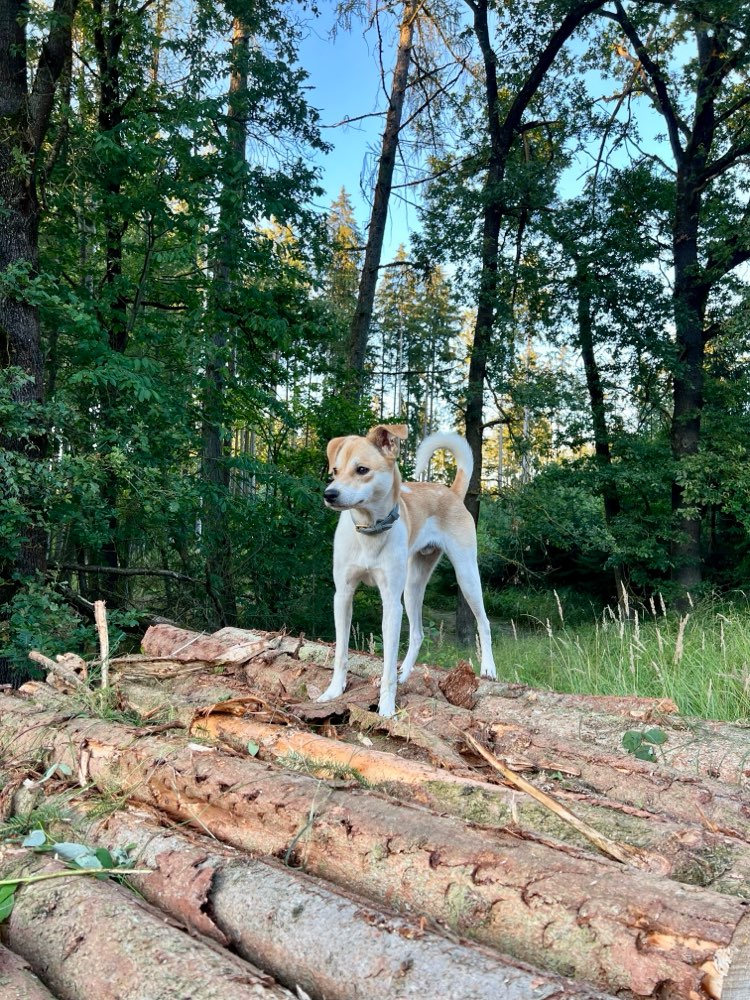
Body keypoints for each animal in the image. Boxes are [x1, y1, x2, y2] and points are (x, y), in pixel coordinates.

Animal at [320, 426, 496, 716]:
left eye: (361, 470)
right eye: (334, 470)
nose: (329, 494)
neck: (370, 530)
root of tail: (451, 492)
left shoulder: (391, 603)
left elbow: (387, 666)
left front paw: (386, 708)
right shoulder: (342, 596)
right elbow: (341, 652)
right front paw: (334, 691)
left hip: (467, 576)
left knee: (484, 622)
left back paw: (489, 668)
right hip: (413, 587)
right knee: (417, 633)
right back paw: (405, 673)